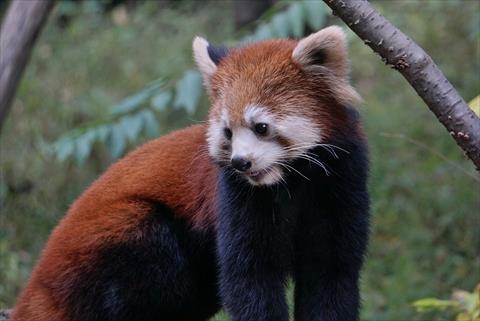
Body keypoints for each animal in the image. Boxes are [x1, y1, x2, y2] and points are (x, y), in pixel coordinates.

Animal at [12, 25, 372, 320]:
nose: (240, 162)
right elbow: (249, 278)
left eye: (261, 126)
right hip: (116, 237)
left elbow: (331, 274)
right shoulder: (236, 199)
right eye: (227, 132)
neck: (289, 183)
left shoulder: (340, 186)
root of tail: (39, 279)